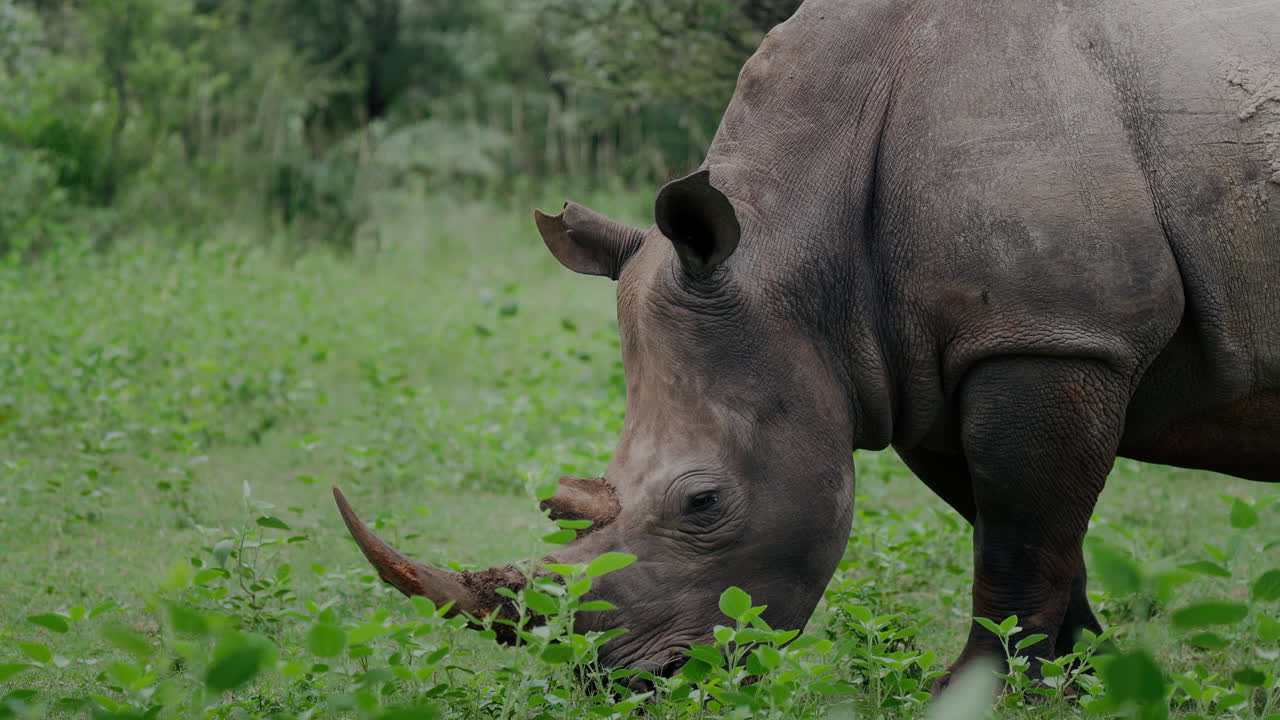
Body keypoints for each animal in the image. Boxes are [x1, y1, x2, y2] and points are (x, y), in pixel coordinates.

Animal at [335, 0, 1280, 690]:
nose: (627, 685)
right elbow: (1029, 537)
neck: (795, 244)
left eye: (702, 504)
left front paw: (976, 697)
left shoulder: (1054, 338)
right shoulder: (929, 367)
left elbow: (1016, 549)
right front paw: (1086, 684)